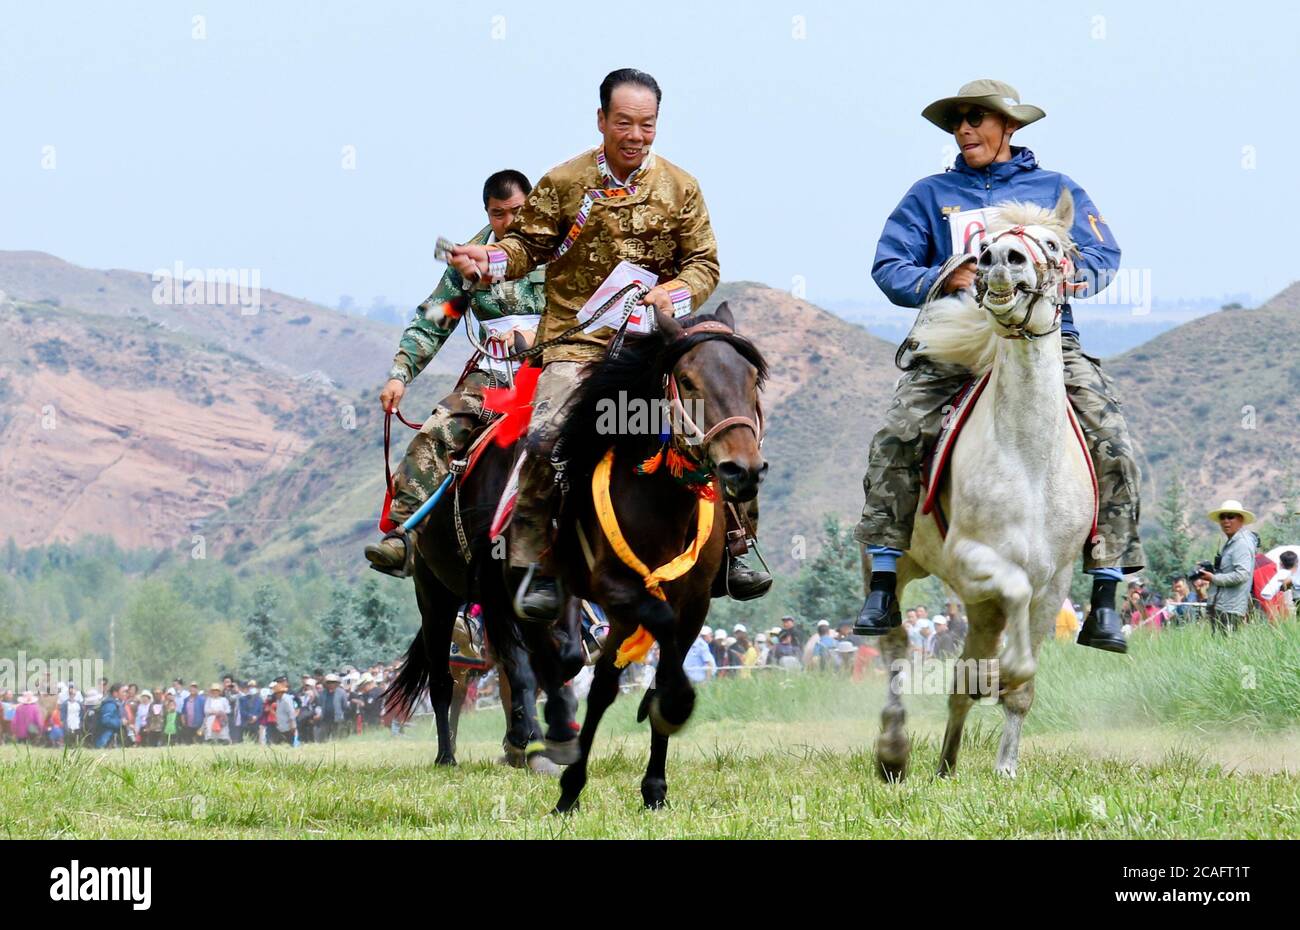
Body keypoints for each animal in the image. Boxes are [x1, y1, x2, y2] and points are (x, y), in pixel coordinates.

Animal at [551, 301, 769, 811]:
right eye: (687, 380)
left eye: (752, 378)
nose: (743, 470)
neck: (661, 502)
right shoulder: (617, 588)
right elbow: (652, 648)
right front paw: (676, 705)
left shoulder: (695, 602)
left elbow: (662, 667)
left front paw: (654, 787)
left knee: (602, 681)